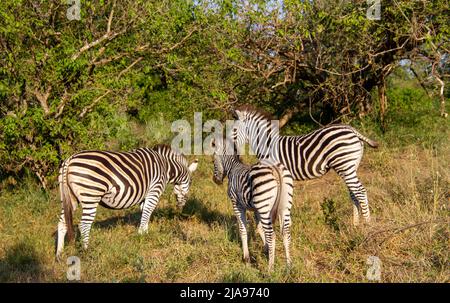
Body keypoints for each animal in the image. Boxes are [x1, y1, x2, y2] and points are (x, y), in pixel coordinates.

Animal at [55, 145, 199, 262]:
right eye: (191, 182)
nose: (181, 208)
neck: (166, 166)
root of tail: (69, 160)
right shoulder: (154, 190)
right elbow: (148, 212)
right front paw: (141, 236)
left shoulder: (145, 195)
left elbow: (145, 213)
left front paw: (145, 233)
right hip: (91, 194)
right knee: (84, 225)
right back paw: (87, 252)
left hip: (70, 198)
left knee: (62, 223)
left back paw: (59, 255)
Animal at [212, 135, 296, 270]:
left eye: (212, 161)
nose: (216, 180)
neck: (233, 168)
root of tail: (275, 168)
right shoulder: (256, 209)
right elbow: (259, 228)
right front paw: (266, 249)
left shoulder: (237, 204)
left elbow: (242, 229)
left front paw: (246, 259)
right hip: (283, 206)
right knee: (285, 233)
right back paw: (289, 265)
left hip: (264, 206)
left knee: (272, 235)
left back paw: (270, 269)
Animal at [230, 105, 378, 227]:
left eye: (234, 131)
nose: (230, 149)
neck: (268, 146)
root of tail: (351, 129)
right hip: (350, 167)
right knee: (354, 193)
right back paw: (356, 224)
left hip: (344, 165)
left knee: (360, 191)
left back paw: (367, 225)